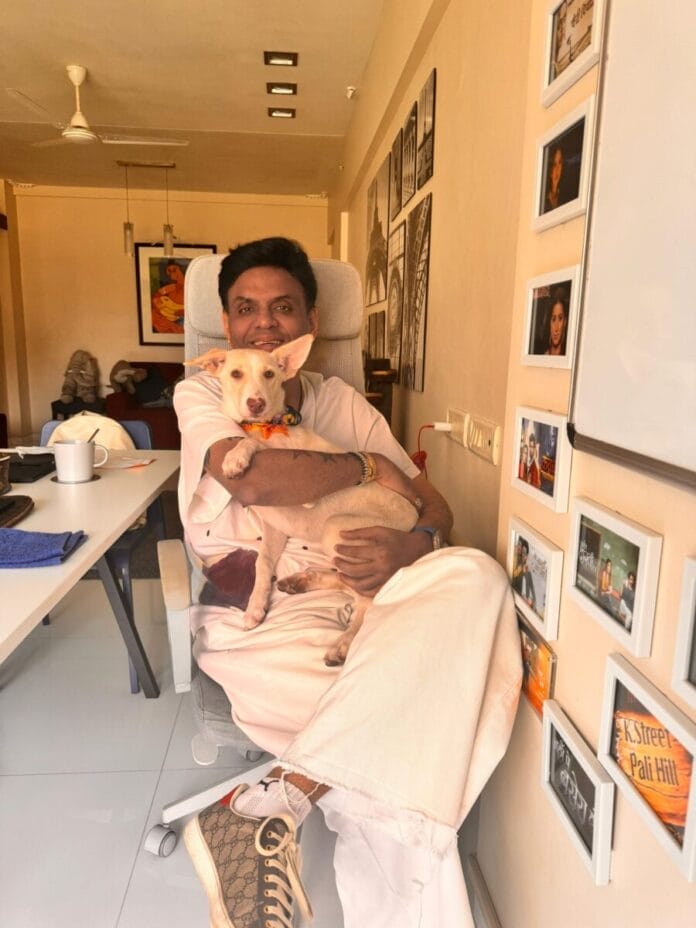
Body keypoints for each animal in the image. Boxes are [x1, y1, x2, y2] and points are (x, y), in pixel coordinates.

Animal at [188, 333, 419, 665]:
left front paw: (236, 456)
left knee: (366, 597)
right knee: (347, 582)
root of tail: (414, 514)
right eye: (235, 374)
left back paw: (343, 643)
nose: (256, 404)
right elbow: (262, 564)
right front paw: (255, 607)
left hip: (337, 530)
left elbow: (254, 445)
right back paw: (303, 582)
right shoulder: (275, 528)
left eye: (270, 374)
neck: (264, 426)